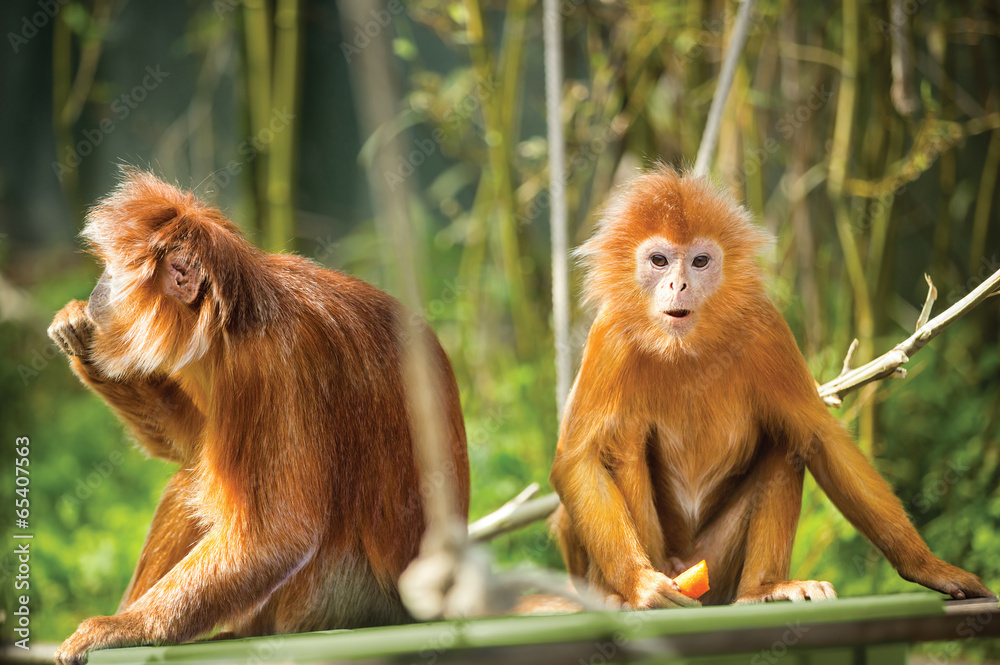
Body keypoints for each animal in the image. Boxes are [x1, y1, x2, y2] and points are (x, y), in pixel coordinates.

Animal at [47, 170, 469, 664]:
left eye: (113, 273)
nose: (98, 290)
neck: (236, 319)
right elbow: (186, 445)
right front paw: (77, 332)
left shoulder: (278, 361)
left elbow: (277, 537)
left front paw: (126, 627)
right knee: (192, 482)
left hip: (332, 594)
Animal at [549, 167, 994, 609]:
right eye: (659, 261)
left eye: (699, 261)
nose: (678, 286)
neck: (683, 350)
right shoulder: (610, 337)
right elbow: (577, 461)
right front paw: (640, 584)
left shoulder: (766, 328)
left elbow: (821, 437)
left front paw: (927, 566)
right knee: (622, 442)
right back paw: (619, 597)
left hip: (715, 565)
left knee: (788, 442)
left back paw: (764, 589)